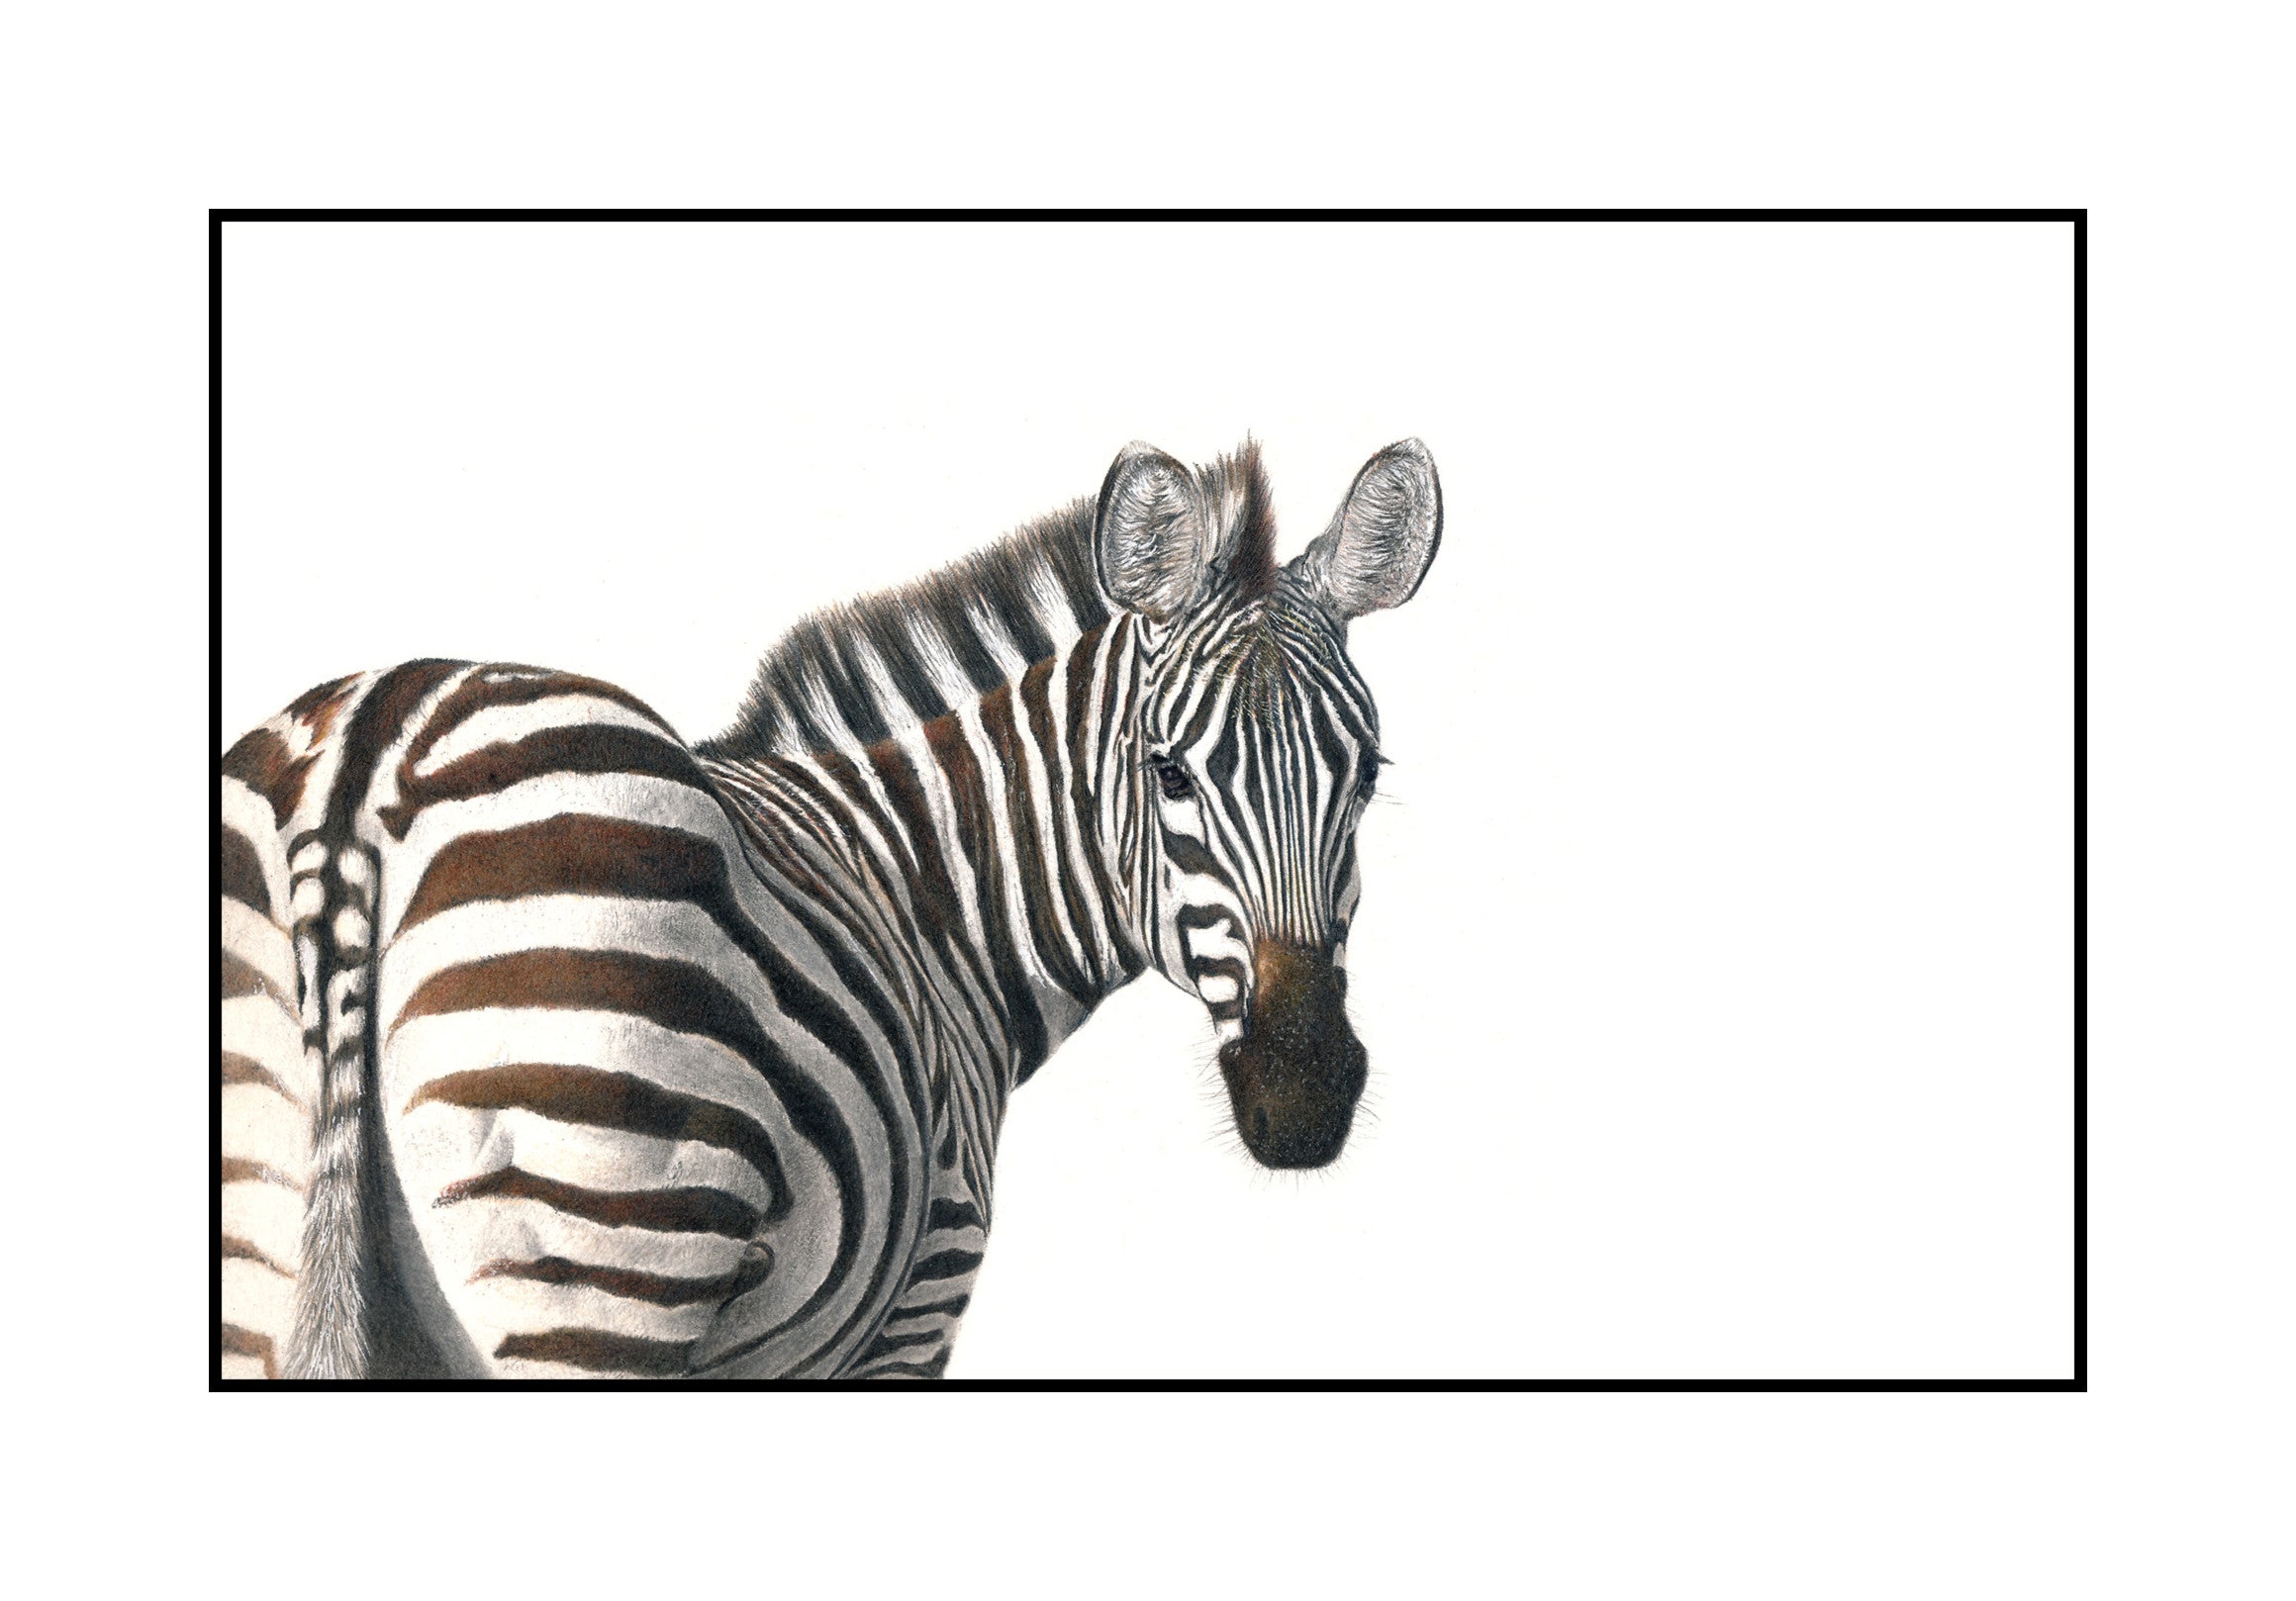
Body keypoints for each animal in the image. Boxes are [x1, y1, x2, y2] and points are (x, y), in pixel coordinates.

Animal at [217, 436, 1442, 1379]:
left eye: (1366, 773)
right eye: (1170, 773)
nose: (1305, 1093)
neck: (933, 896)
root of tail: (366, 747)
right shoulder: (921, 1294)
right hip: (595, 1252)